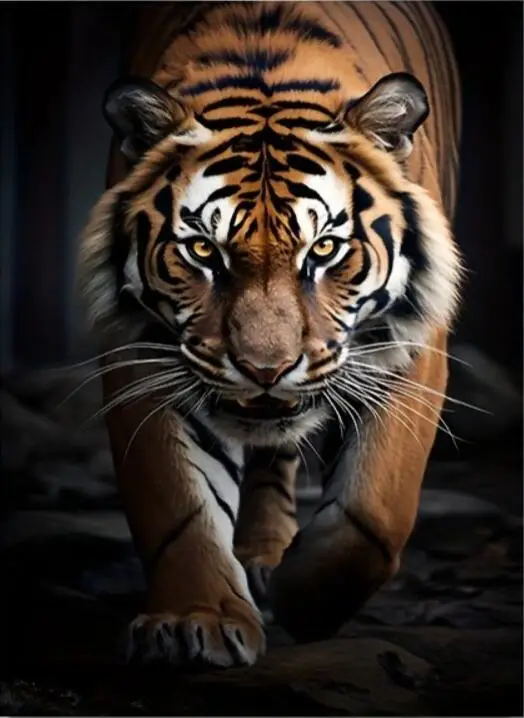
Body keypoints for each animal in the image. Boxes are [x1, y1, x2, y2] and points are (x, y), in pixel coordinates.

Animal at [77, 1, 462, 667]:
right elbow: (178, 503)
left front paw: (303, 602)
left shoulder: (412, 346)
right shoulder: (141, 349)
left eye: (325, 249)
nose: (265, 370)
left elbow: (373, 511)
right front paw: (195, 619)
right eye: (203, 250)